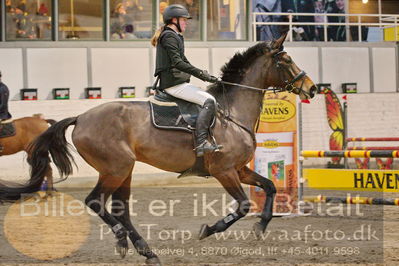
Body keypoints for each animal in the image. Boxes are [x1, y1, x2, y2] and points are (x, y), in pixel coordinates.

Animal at [0, 32, 318, 264]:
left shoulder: (239, 170)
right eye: (286, 60)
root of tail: (81, 117)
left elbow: (270, 187)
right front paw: (208, 230)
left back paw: (145, 250)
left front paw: (260, 227)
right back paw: (124, 241)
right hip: (116, 168)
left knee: (121, 209)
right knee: (96, 201)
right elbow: (241, 206)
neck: (232, 112)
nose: (312, 89)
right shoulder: (224, 171)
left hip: (124, 170)